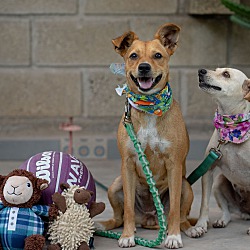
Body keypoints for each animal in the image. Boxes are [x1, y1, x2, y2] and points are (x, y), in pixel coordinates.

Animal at [96, 23, 204, 248]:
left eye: (158, 55)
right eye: (133, 55)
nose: (144, 67)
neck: (149, 109)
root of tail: (149, 219)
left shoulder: (174, 164)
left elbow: (174, 210)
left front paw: (173, 237)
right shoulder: (127, 164)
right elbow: (128, 208)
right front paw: (127, 236)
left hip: (186, 186)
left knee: (182, 217)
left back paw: (190, 229)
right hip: (115, 184)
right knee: (119, 217)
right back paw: (105, 225)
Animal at [195, 67, 250, 233]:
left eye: (226, 74)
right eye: (216, 70)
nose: (201, 70)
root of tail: (245, 211)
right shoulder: (208, 170)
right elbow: (204, 204)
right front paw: (200, 225)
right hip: (219, 182)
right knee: (227, 212)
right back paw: (222, 221)